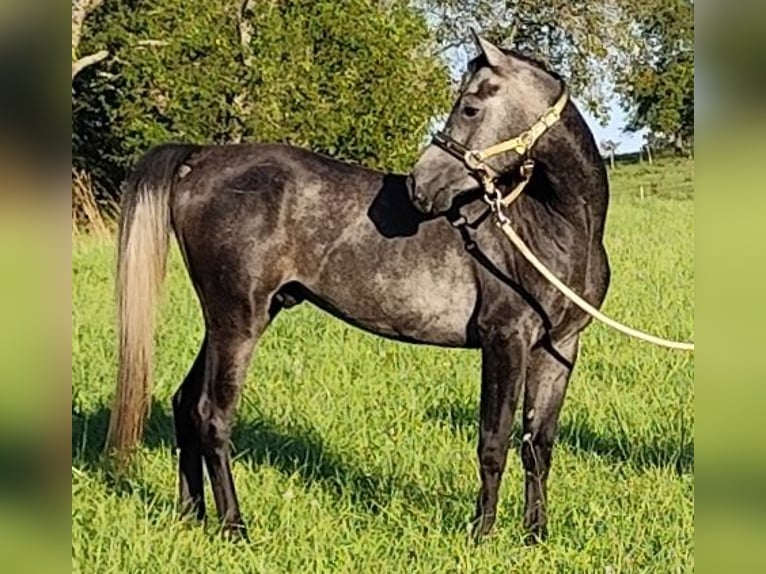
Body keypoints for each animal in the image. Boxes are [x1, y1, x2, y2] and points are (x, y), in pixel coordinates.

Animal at [108, 33, 612, 548]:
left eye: (470, 107)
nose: (420, 184)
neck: (552, 227)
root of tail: (201, 158)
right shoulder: (503, 341)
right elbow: (493, 443)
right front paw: (481, 536)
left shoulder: (558, 347)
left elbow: (538, 446)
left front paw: (536, 536)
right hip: (237, 322)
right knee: (213, 415)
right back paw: (235, 527)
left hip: (230, 321)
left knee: (186, 404)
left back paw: (192, 515)